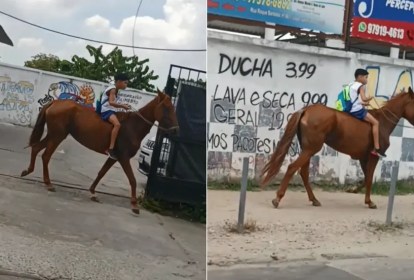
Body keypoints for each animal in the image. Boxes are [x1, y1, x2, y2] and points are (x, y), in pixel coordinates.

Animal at [21, 90, 178, 214]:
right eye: (166, 107)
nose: (176, 130)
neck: (133, 126)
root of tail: (55, 103)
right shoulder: (124, 158)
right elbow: (132, 180)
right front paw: (134, 205)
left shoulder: (114, 157)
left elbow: (101, 173)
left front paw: (92, 192)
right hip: (57, 136)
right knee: (46, 156)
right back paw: (48, 183)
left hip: (53, 135)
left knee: (36, 148)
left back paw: (28, 171)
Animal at [260, 87, 414, 208]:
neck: (381, 123)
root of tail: (306, 110)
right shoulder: (373, 156)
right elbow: (369, 178)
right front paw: (369, 201)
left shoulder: (363, 158)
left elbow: (366, 178)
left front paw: (356, 192)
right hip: (311, 149)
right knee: (292, 168)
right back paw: (278, 198)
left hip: (307, 149)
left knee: (303, 172)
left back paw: (314, 199)